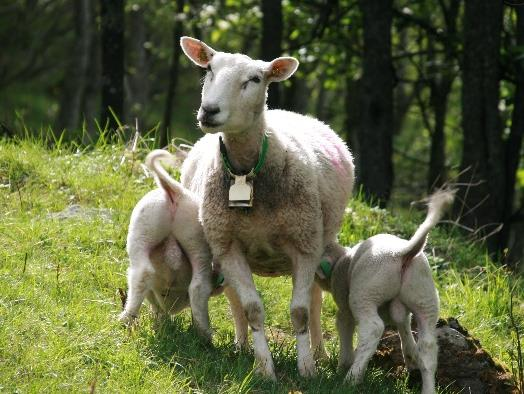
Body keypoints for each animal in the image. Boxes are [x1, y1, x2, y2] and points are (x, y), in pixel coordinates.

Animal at [178, 37, 354, 378]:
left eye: (255, 79)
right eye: (209, 69)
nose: (209, 110)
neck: (248, 171)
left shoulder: (304, 245)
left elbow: (300, 312)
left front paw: (307, 369)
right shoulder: (228, 245)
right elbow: (251, 309)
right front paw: (263, 369)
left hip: (318, 239)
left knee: (314, 299)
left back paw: (320, 353)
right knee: (235, 300)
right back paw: (242, 346)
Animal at [316, 191, 454, 394]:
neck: (340, 262)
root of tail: (403, 253)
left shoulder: (344, 309)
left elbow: (345, 332)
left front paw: (342, 367)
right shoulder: (404, 316)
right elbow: (405, 333)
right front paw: (411, 360)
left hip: (365, 294)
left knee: (373, 329)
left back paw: (351, 379)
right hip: (425, 298)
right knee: (428, 345)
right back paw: (428, 388)